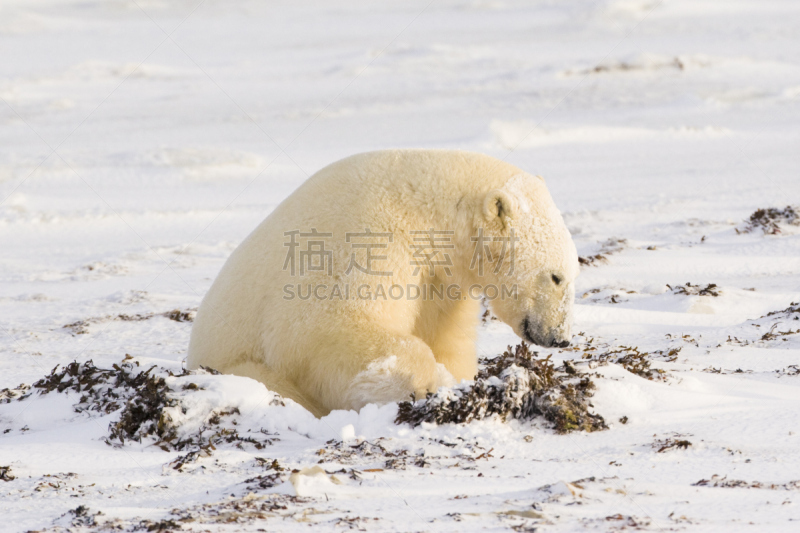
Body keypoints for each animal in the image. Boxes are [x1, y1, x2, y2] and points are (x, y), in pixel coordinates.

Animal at [188, 149, 580, 416]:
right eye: (556, 276)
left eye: (574, 275)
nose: (559, 337)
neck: (425, 212)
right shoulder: (369, 240)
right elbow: (323, 328)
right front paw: (430, 381)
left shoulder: (439, 281)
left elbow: (445, 337)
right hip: (240, 364)